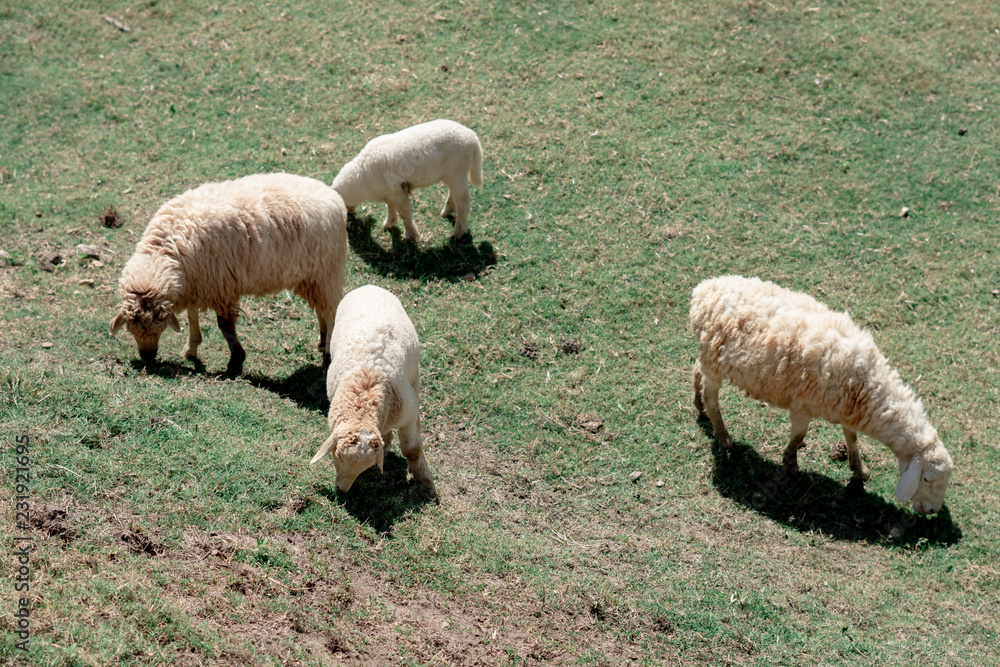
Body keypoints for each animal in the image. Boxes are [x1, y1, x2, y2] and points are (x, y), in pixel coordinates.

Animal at [110, 173, 347, 376]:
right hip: (312, 278)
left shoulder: (221, 287)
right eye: (131, 330)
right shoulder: (197, 282)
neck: (166, 252)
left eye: (158, 327)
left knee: (332, 313)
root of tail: (335, 198)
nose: (148, 358)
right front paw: (192, 347)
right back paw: (322, 340)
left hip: (327, 272)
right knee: (322, 310)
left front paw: (236, 360)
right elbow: (192, 315)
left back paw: (328, 355)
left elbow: (225, 326)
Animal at [309, 285, 434, 494]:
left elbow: (412, 450)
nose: (342, 490)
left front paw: (425, 482)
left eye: (366, 467)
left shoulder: (407, 415)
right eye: (338, 456)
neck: (364, 396)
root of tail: (369, 287)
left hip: (414, 377)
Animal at [332, 119, 484, 242]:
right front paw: (390, 223)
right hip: (451, 175)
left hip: (458, 171)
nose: (348, 217)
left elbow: (405, 213)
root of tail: (472, 137)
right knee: (454, 193)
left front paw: (410, 235)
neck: (362, 175)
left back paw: (459, 232)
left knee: (463, 201)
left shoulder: (398, 193)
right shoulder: (390, 191)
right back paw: (448, 210)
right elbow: (390, 206)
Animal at [690, 275, 954, 514]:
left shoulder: (847, 410)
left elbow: (852, 438)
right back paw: (722, 434)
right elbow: (799, 436)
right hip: (715, 360)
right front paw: (791, 465)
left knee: (696, 370)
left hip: (707, 354)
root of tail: (703, 290)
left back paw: (699, 408)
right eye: (928, 479)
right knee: (710, 394)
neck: (868, 388)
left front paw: (858, 468)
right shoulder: (802, 406)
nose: (932, 511)